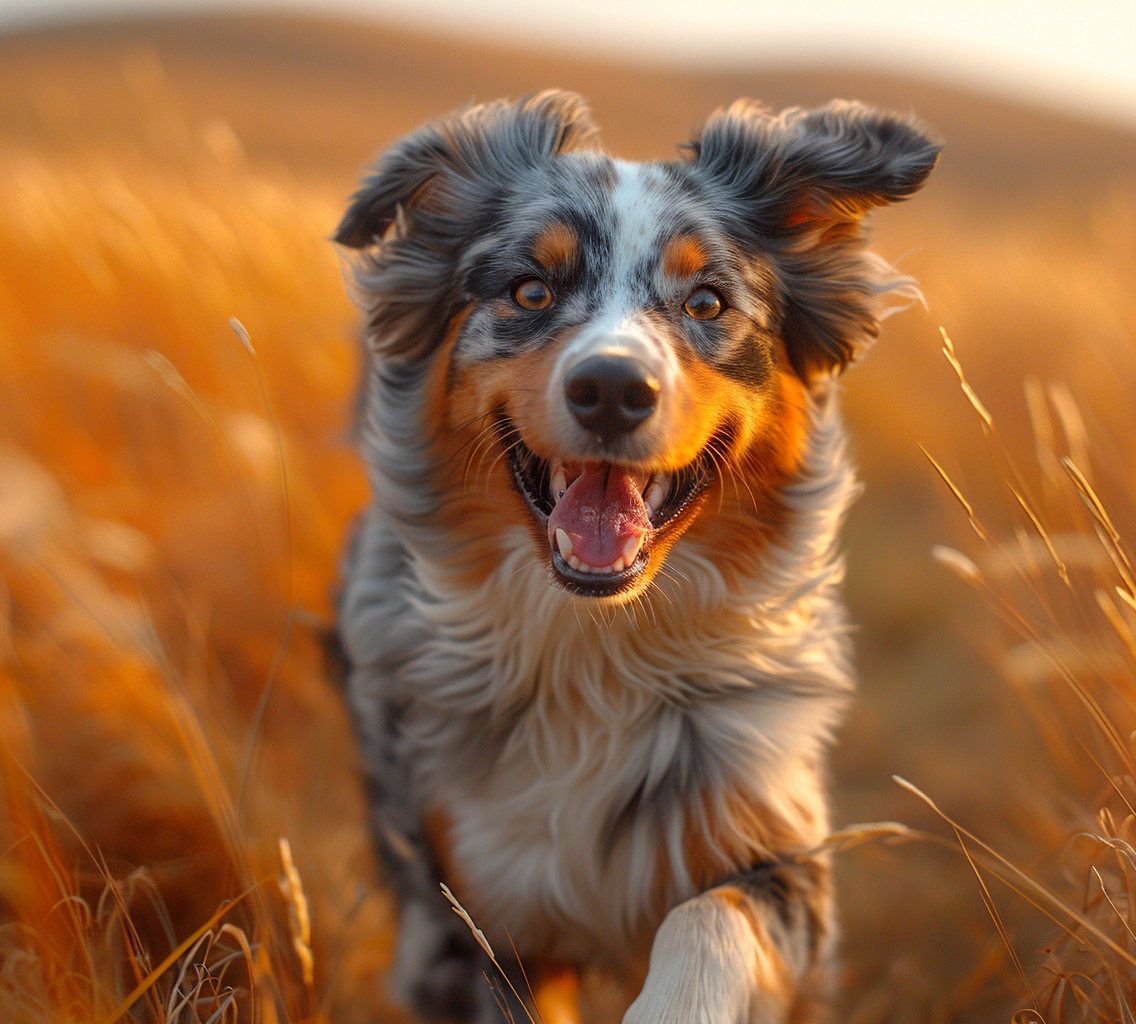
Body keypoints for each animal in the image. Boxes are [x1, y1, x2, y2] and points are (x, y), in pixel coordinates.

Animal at [333, 92, 940, 1018]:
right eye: (530, 289)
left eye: (707, 303)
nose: (614, 389)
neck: (597, 646)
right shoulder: (469, 917)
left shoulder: (780, 852)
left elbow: (706, 918)